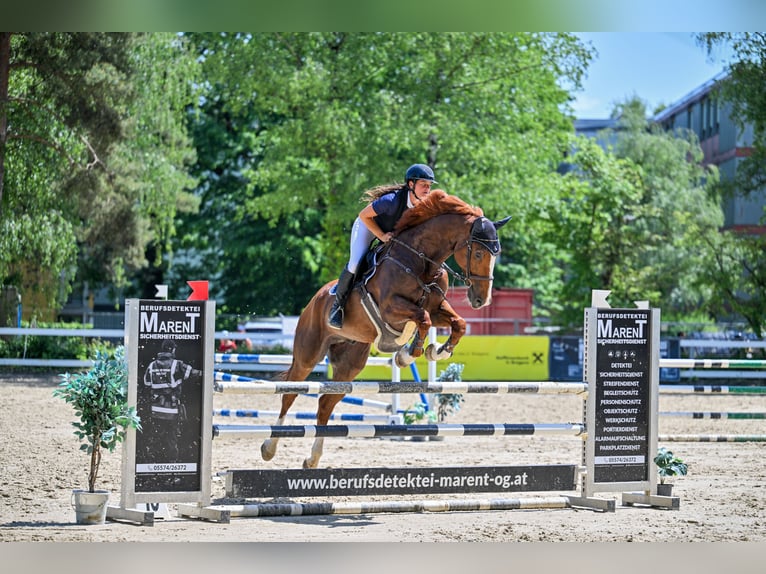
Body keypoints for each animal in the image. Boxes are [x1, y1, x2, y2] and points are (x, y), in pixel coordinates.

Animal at [261, 189, 510, 468]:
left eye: (496, 254)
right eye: (478, 254)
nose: (481, 300)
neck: (422, 262)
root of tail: (314, 300)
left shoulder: (437, 309)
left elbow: (458, 323)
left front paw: (438, 351)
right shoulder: (392, 308)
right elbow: (422, 319)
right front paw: (407, 353)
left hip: (350, 364)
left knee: (325, 403)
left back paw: (312, 459)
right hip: (308, 354)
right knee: (289, 394)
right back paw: (269, 448)